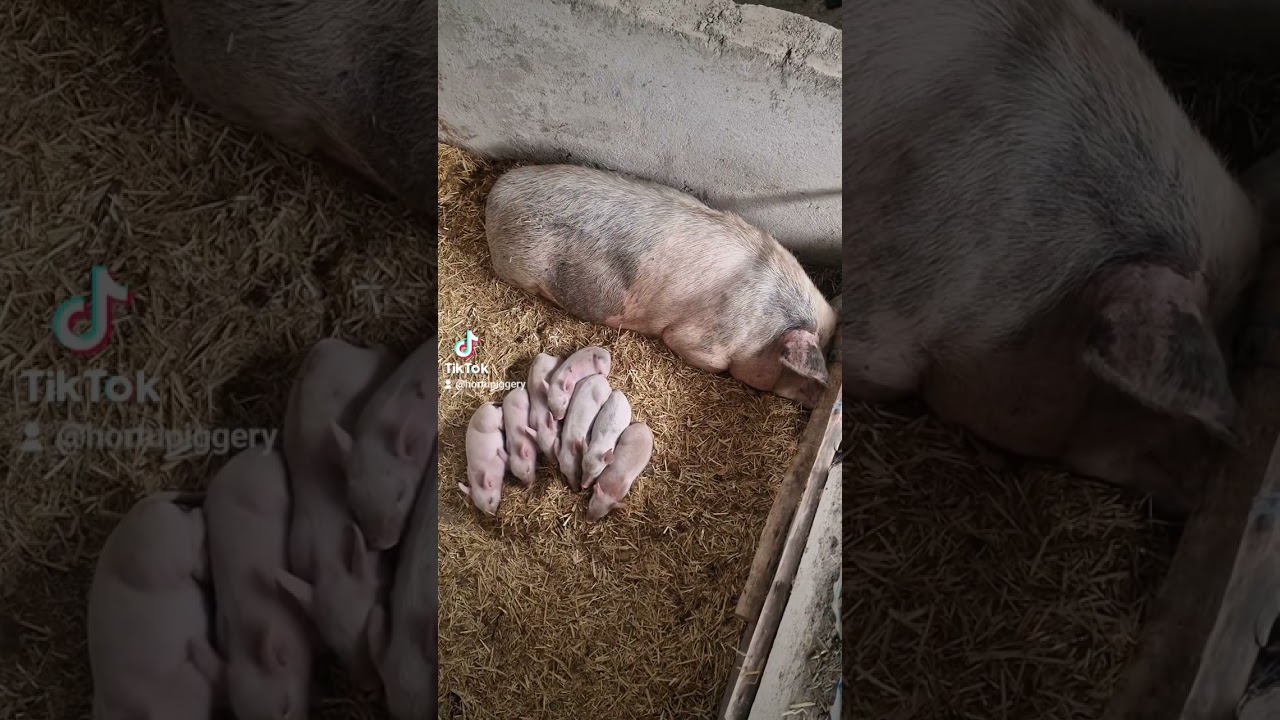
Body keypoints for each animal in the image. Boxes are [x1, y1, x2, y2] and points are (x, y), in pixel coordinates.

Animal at [274, 338, 398, 690]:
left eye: (368, 621)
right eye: (335, 647)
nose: (370, 688)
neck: (330, 561)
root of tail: (327, 343)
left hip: (369, 362)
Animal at [485, 167, 837, 408]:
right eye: (804, 374)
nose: (819, 399)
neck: (768, 331)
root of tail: (497, 193)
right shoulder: (696, 341)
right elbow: (710, 360)